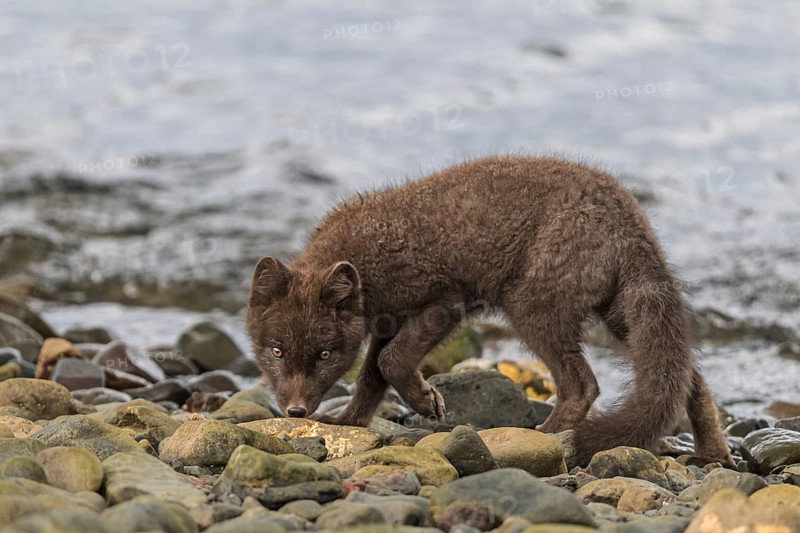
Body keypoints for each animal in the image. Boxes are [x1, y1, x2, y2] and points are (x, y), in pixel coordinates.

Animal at [246, 155, 733, 466]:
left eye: (324, 355)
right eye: (276, 352)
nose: (295, 412)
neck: (367, 257)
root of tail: (634, 223)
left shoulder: (446, 299)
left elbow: (390, 362)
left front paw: (428, 403)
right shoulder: (386, 321)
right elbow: (372, 376)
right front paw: (348, 423)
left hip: (532, 307)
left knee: (583, 385)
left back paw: (545, 438)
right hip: (618, 313)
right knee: (687, 376)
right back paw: (714, 454)